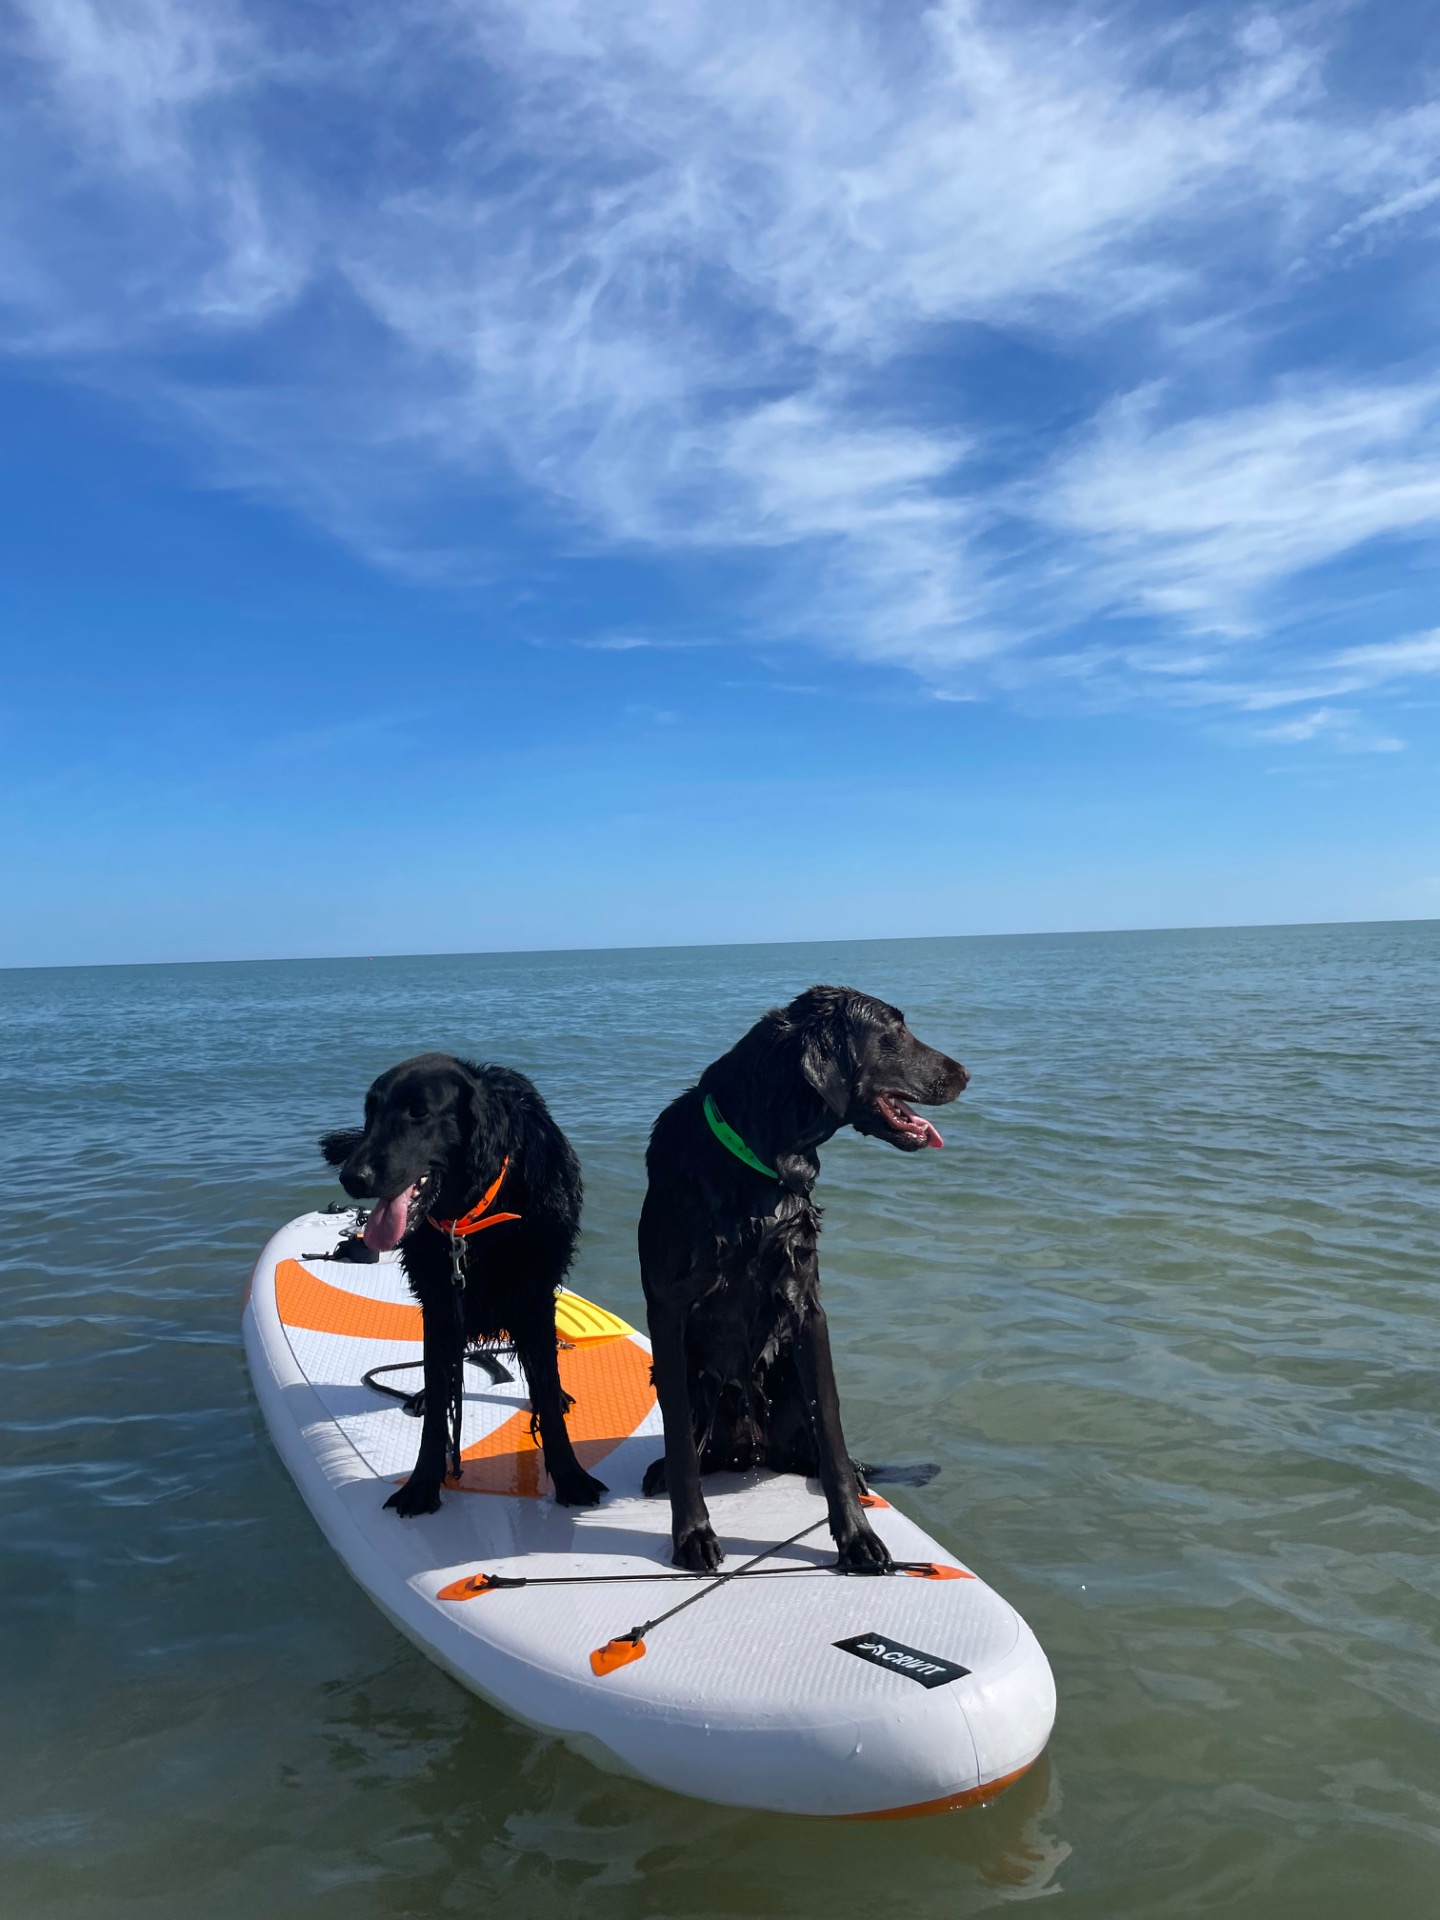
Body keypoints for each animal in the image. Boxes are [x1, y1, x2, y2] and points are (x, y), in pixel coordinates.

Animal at [321, 1053, 606, 1516]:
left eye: (419, 1112)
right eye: (370, 1112)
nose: (352, 1177)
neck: (475, 1218)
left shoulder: (534, 1298)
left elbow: (545, 1389)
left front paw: (569, 1476)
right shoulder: (438, 1304)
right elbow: (440, 1403)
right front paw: (422, 1484)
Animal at [638, 986, 968, 1573]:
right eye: (894, 1030)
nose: (965, 1074)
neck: (757, 1165)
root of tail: (753, 1453)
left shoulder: (806, 1306)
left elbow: (831, 1428)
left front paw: (857, 1537)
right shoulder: (668, 1312)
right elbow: (677, 1434)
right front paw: (692, 1533)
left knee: (824, 1453)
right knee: (694, 1447)